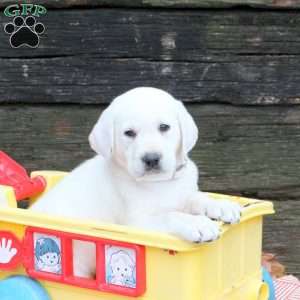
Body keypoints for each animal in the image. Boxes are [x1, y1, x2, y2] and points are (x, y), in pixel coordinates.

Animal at [31, 86, 241, 276]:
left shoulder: (182, 194)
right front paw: (197, 224)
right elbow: (170, 215)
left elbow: (197, 198)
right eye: (129, 133)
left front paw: (222, 205)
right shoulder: (136, 223)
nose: (151, 159)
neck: (159, 183)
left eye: (164, 127)